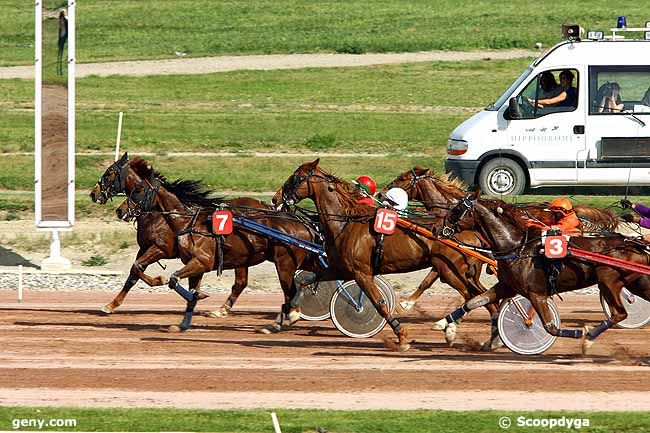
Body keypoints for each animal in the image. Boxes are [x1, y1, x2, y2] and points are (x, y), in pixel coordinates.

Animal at [270, 159, 498, 352]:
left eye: (295, 178)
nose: (275, 198)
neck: (346, 220)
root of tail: (470, 230)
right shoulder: (340, 268)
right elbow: (304, 281)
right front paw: (289, 314)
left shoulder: (361, 272)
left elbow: (379, 303)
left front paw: (402, 336)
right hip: (462, 273)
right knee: (486, 297)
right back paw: (491, 338)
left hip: (449, 271)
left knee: (474, 296)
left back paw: (456, 330)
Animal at [432, 191, 650, 352]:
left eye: (457, 209)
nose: (436, 228)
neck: (517, 247)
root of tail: (634, 244)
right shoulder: (507, 286)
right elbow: (474, 301)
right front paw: (444, 324)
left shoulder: (536, 293)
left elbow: (550, 327)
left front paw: (579, 333)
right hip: (637, 283)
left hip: (608, 280)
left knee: (619, 314)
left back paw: (588, 338)